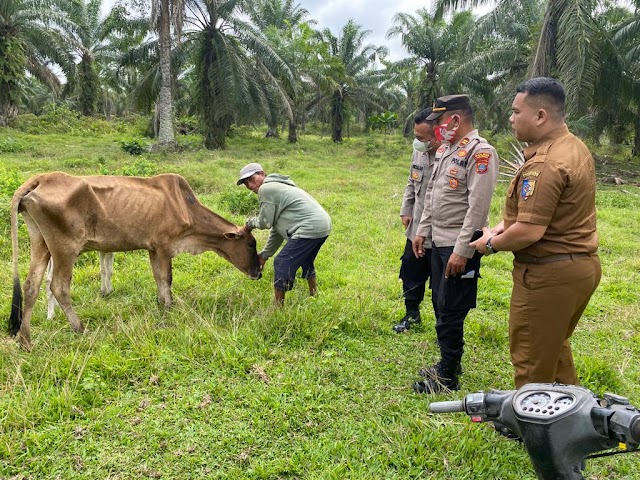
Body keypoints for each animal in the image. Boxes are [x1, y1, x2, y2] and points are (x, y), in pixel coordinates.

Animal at [9, 172, 262, 348]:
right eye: (251, 243)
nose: (258, 272)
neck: (186, 208)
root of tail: (42, 178)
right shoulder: (164, 246)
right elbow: (167, 278)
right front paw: (169, 307)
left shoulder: (152, 248)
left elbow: (158, 277)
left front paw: (161, 302)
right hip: (65, 249)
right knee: (59, 287)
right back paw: (80, 328)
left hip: (40, 243)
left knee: (31, 286)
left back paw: (26, 340)